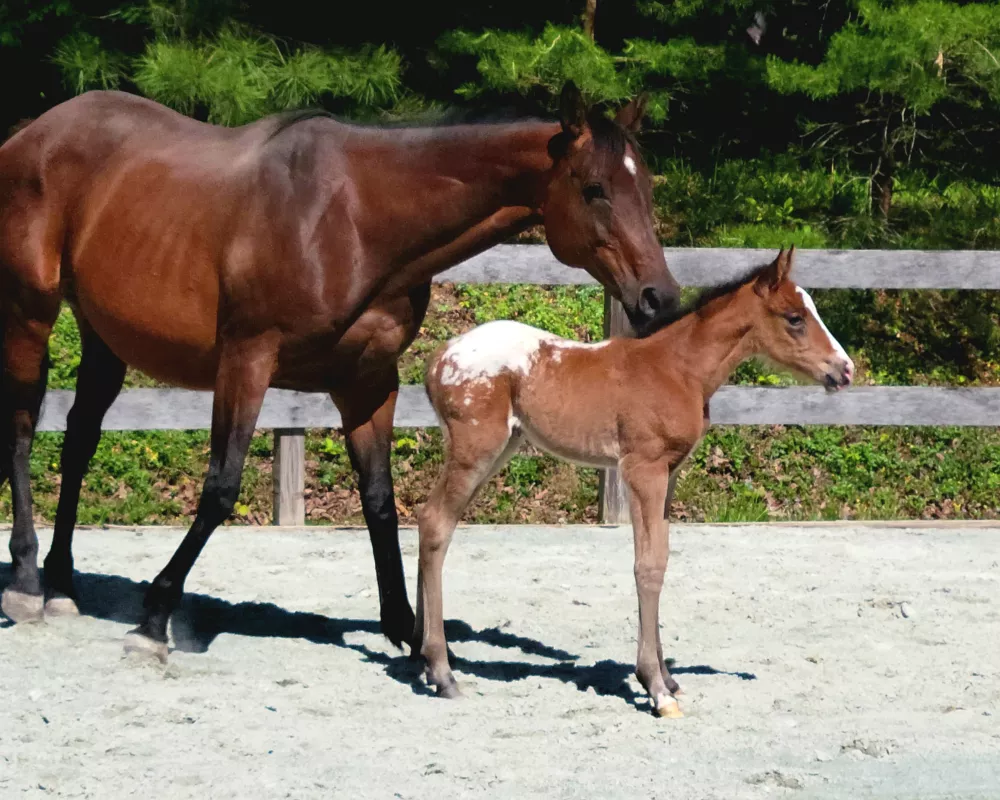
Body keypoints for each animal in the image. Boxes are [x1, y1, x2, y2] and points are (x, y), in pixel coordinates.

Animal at [0, 81, 680, 660]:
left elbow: (380, 500)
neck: (355, 218)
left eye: (646, 187)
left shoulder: (367, 382)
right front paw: (155, 617)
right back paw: (28, 583)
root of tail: (32, 133)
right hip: (30, 314)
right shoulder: (247, 361)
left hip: (102, 334)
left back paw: (62, 585)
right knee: (24, 431)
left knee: (79, 440)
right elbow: (221, 487)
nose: (660, 299)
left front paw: (407, 630)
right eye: (594, 189)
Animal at [412, 247, 852, 716]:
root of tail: (439, 358)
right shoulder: (644, 470)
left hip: (499, 449)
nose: (845, 370)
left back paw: (421, 654)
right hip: (476, 450)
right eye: (794, 318)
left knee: (429, 520)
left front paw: (669, 678)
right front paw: (655, 687)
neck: (678, 369)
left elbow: (661, 557)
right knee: (437, 524)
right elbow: (648, 566)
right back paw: (441, 672)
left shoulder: (669, 475)